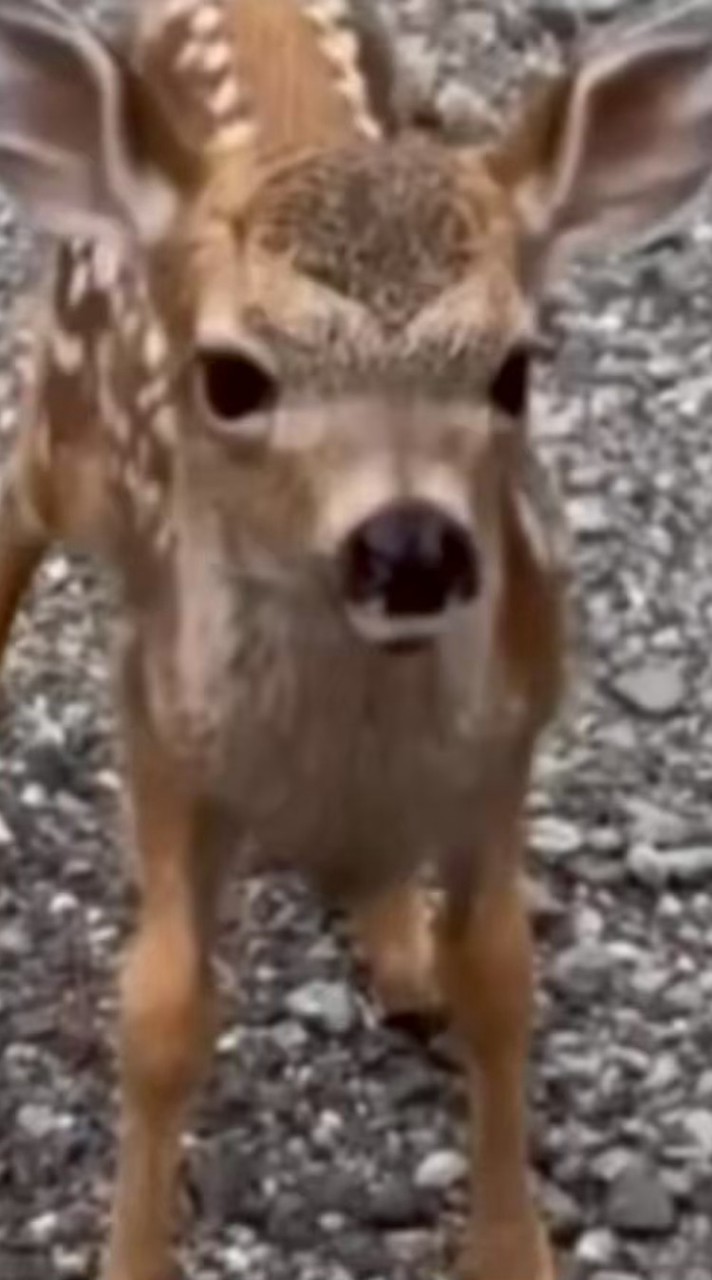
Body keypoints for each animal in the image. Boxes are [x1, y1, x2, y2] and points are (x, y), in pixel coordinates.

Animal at [0, 1, 711, 1277]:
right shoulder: (160, 723)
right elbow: (163, 1012)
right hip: (59, 412)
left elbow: (499, 979)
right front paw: (132, 1253)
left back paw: (398, 951)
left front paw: (510, 1246)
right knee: (11, 507)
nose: (412, 542)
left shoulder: (505, 744)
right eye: (231, 376)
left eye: (513, 368)